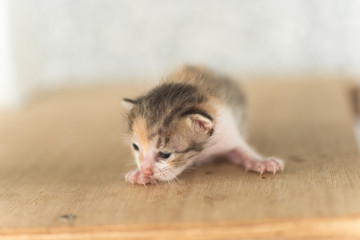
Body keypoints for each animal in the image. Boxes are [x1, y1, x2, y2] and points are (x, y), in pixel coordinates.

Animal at [123, 66, 284, 186]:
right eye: (135, 147)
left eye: (165, 154)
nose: (145, 170)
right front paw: (138, 174)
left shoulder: (226, 130)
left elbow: (242, 149)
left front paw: (262, 162)